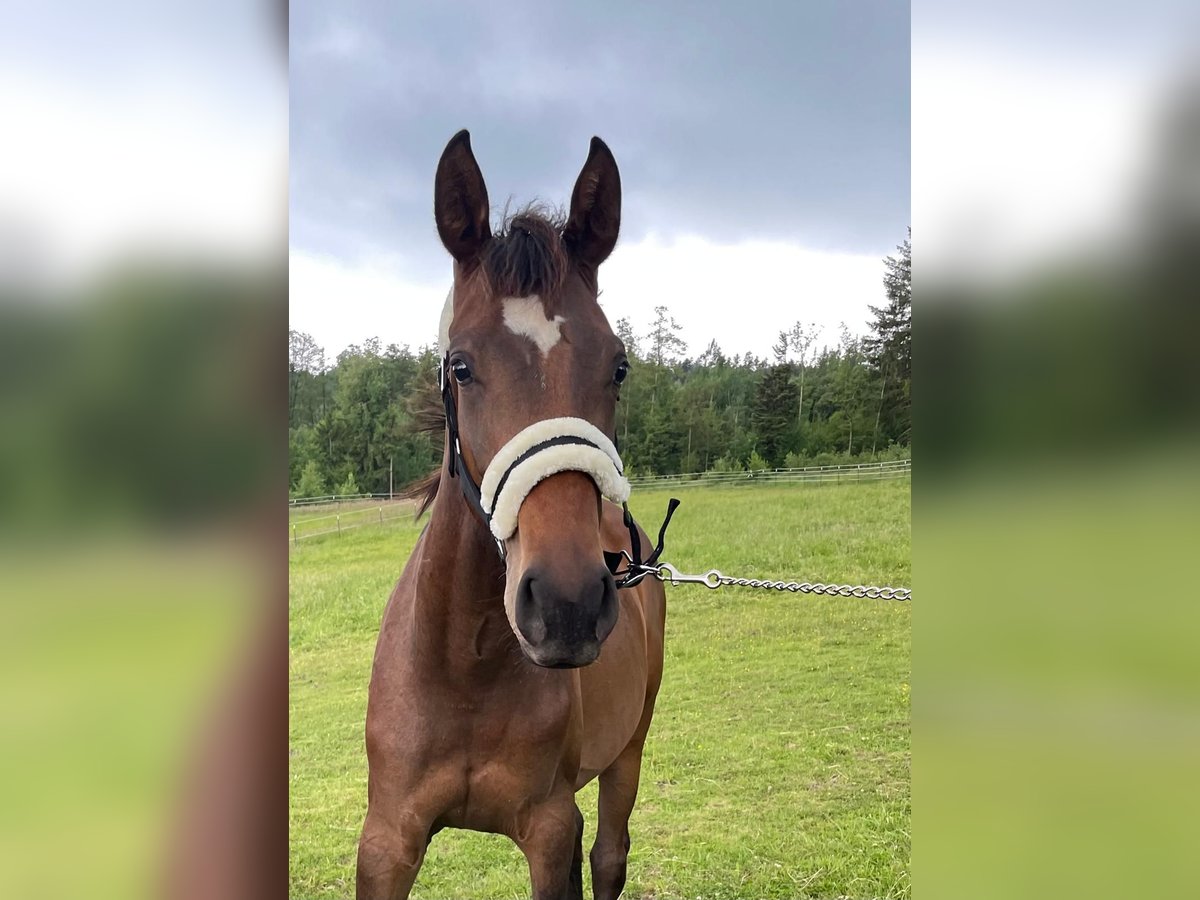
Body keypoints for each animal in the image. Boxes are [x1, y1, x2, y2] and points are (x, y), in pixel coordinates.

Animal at [355, 132, 672, 900]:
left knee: (609, 854)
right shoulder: (387, 840)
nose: (565, 603)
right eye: (461, 366)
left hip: (630, 747)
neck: (464, 668)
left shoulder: (548, 829)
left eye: (618, 366)